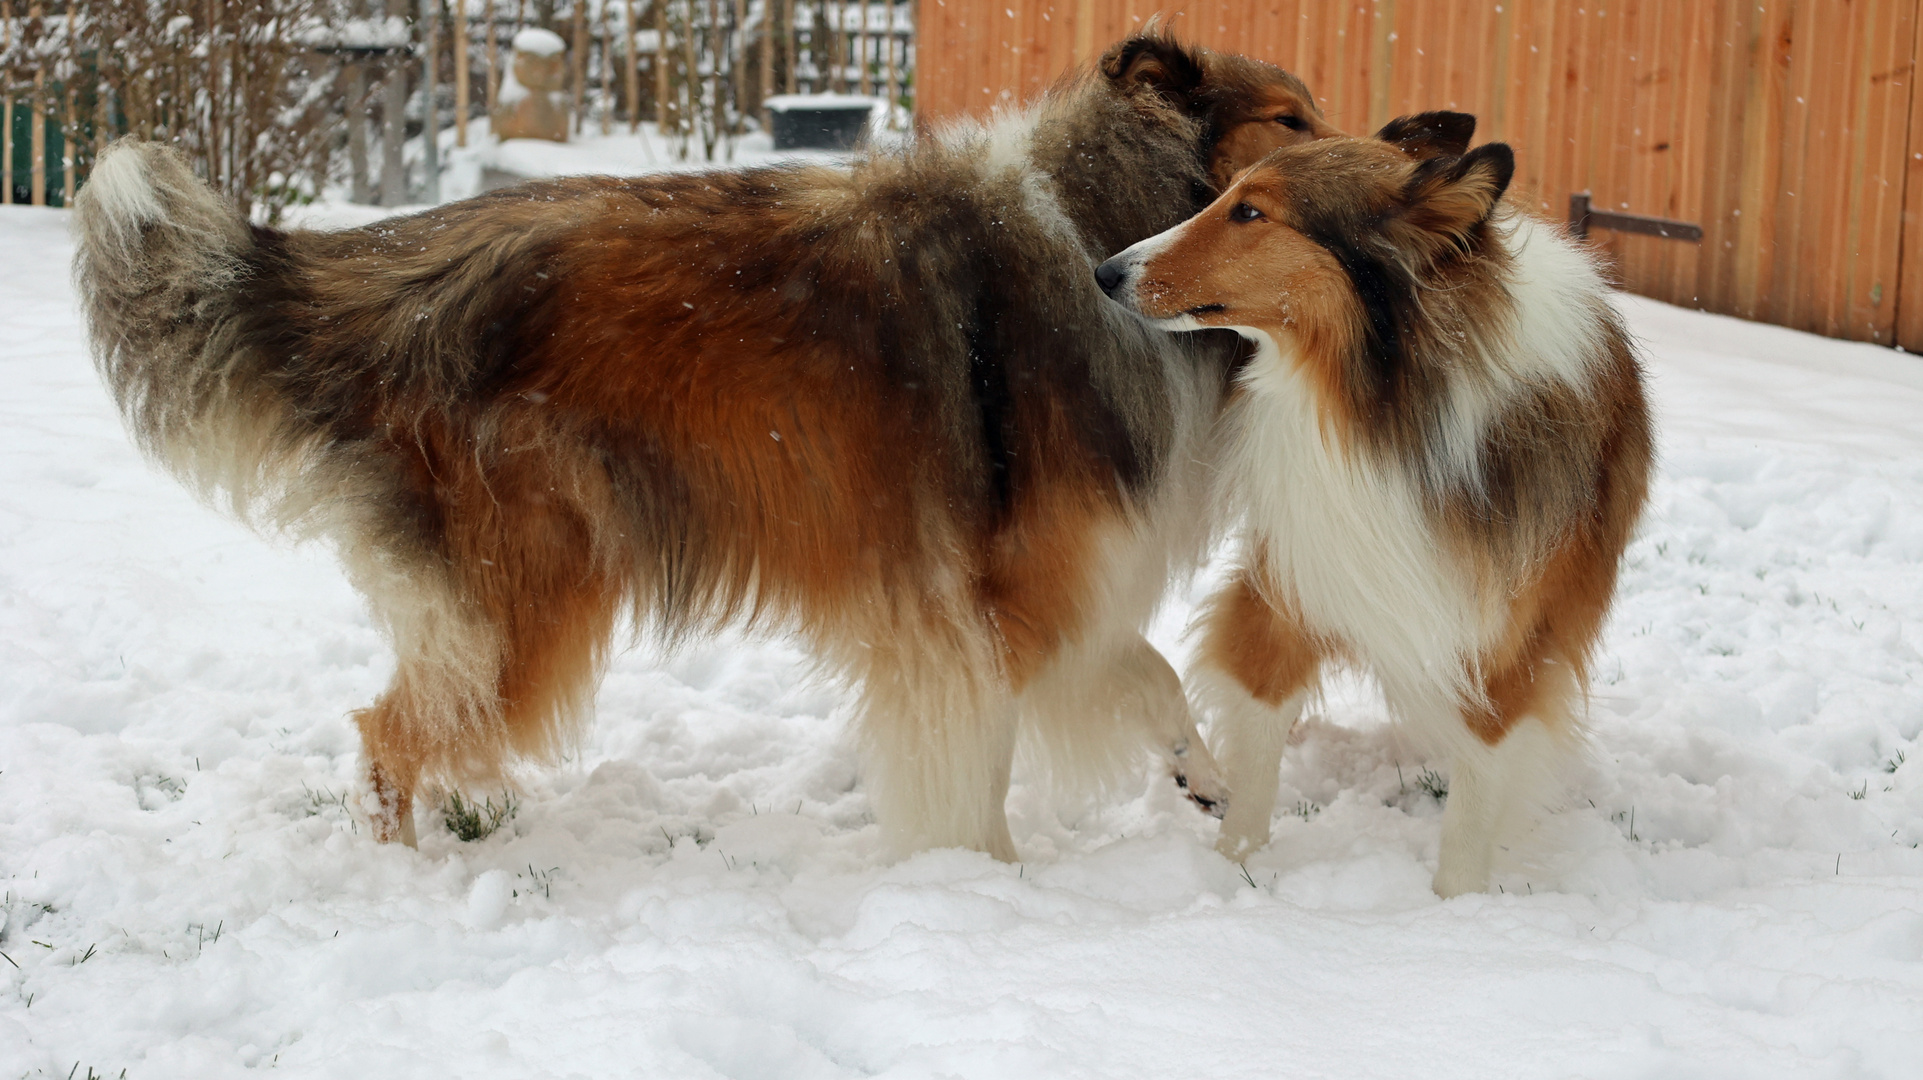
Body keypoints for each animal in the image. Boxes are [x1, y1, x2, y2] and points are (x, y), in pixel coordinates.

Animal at [71, 33, 1338, 853]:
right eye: (1289, 123)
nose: (1395, 154)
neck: (1097, 229)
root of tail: (360, 270)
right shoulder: (991, 605)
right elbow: (986, 768)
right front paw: (977, 885)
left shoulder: (1048, 597)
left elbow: (1151, 677)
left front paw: (1206, 784)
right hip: (531, 599)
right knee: (388, 734)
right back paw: (410, 874)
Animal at [1099, 117, 1653, 891]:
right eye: (1228, 195)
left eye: (1251, 212)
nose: (1105, 272)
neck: (1382, 407)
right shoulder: (1297, 572)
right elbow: (1258, 732)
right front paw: (1232, 873)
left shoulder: (1508, 641)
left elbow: (1477, 796)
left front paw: (1458, 907)